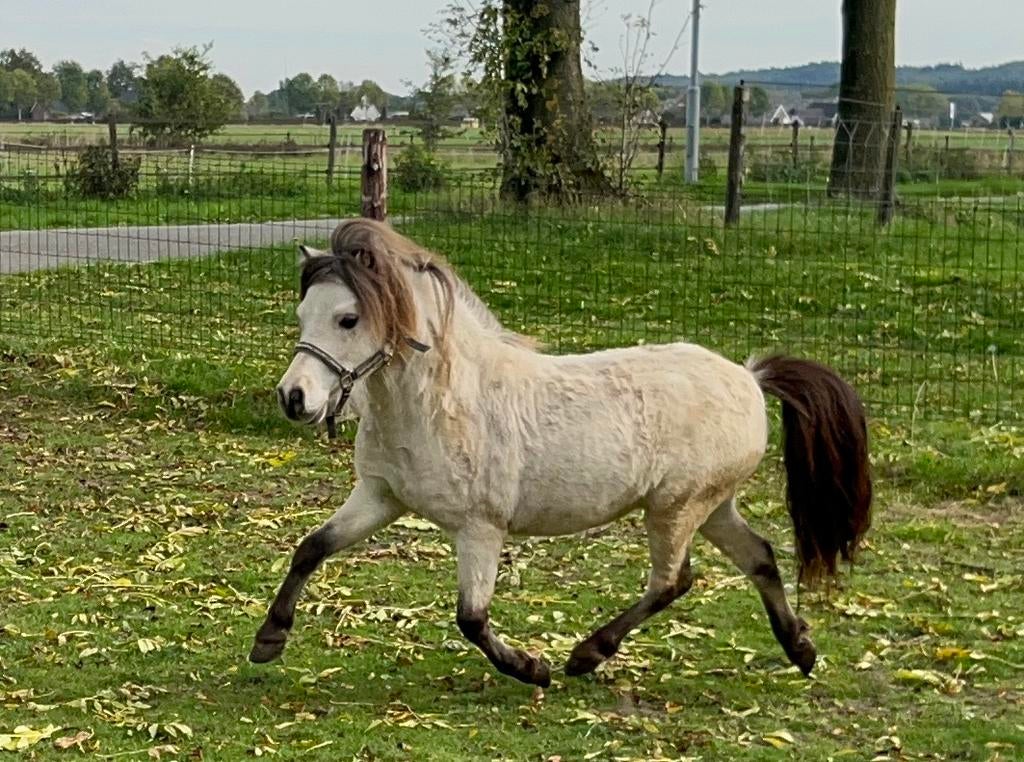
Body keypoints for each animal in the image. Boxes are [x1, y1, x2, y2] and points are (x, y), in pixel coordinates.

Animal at [249, 218, 872, 687]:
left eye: (348, 319)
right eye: (302, 315)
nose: (293, 398)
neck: (441, 400)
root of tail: (749, 377)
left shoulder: (480, 528)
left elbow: (471, 618)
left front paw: (532, 668)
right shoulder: (380, 497)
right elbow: (311, 548)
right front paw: (269, 639)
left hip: (676, 508)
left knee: (673, 582)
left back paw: (585, 655)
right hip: (712, 505)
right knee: (759, 557)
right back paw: (800, 649)